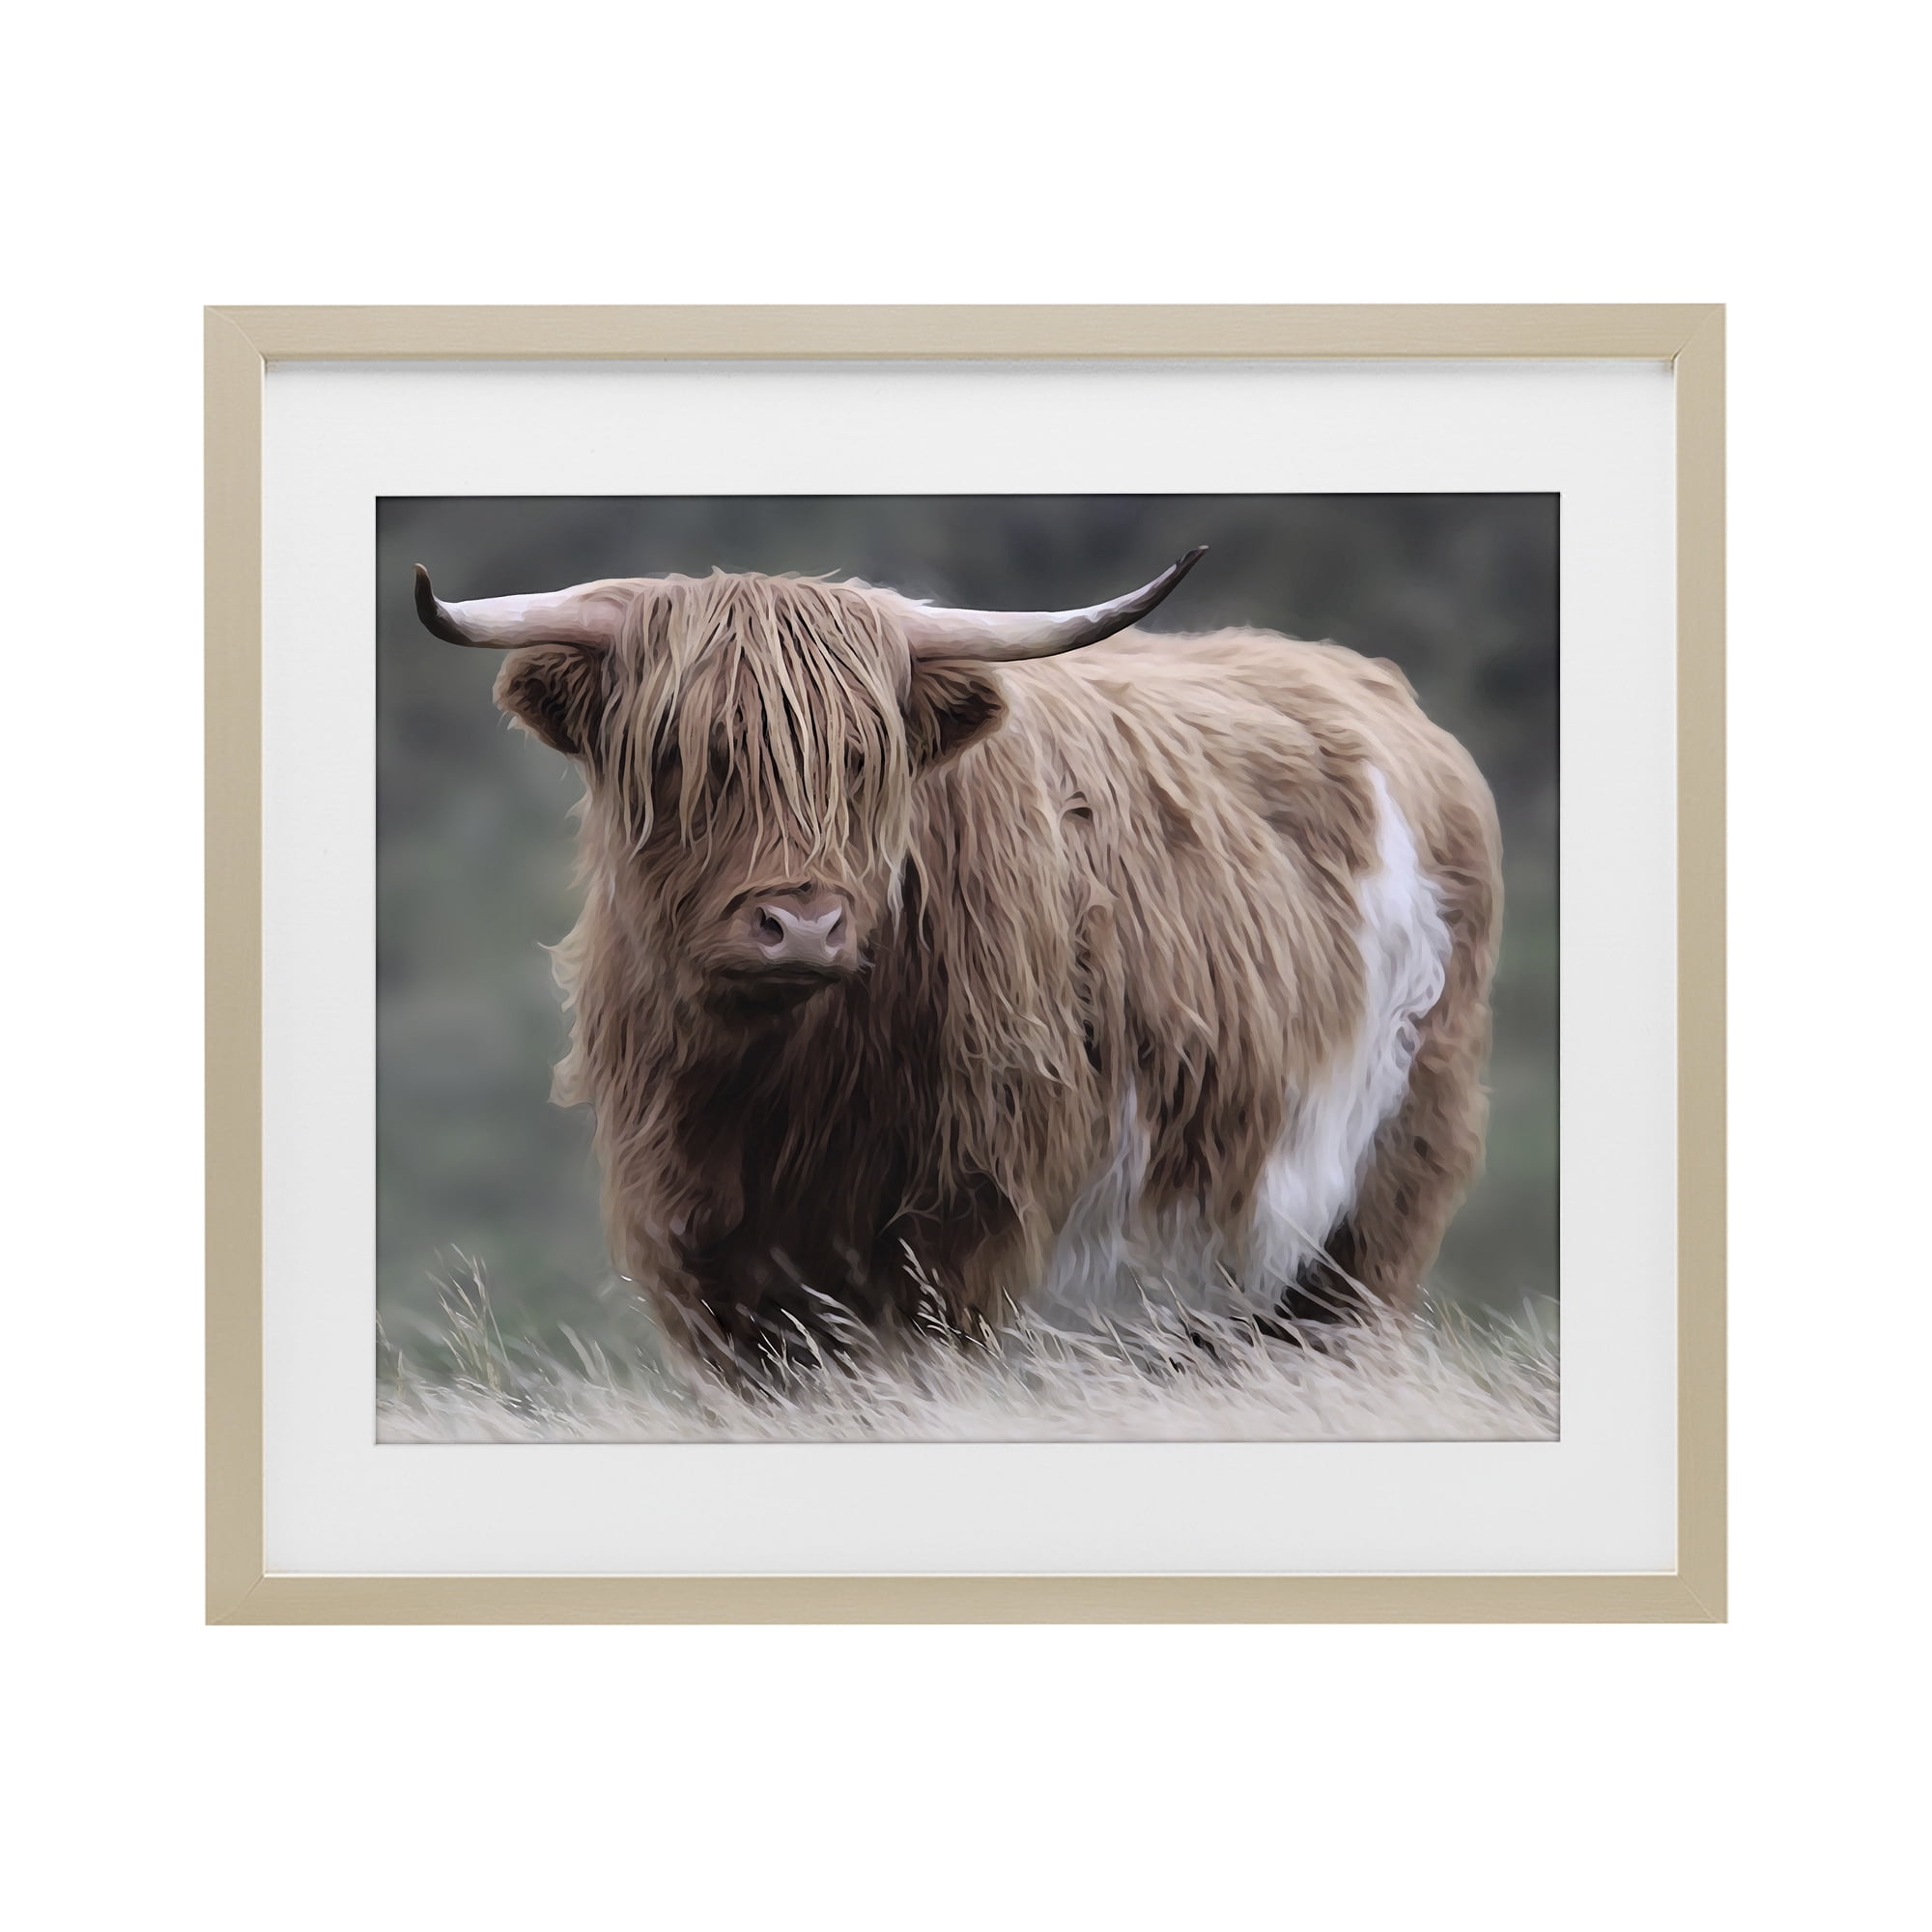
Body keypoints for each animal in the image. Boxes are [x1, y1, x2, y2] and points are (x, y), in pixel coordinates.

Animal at [414, 552, 1502, 1377]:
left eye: (864, 759)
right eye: (686, 754)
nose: (801, 924)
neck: (777, 1088)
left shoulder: (959, 1237)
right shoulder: (704, 1255)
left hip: (1371, 1204)